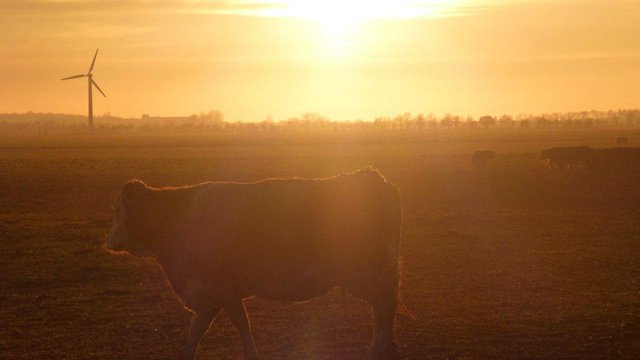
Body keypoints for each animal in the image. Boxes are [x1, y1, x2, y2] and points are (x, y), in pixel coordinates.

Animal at [105, 167, 404, 358]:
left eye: (120, 210)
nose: (109, 241)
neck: (177, 216)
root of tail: (372, 177)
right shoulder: (207, 296)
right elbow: (194, 335)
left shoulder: (225, 289)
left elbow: (242, 325)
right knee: (384, 313)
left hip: (366, 274)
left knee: (384, 310)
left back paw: (376, 351)